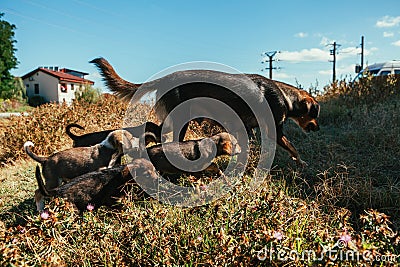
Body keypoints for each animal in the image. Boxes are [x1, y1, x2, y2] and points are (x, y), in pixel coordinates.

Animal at [90, 57, 318, 166]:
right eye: (314, 114)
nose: (316, 129)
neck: (285, 96)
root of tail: (166, 78)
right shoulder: (275, 131)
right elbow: (293, 148)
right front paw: (302, 162)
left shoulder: (244, 128)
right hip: (180, 119)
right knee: (160, 134)